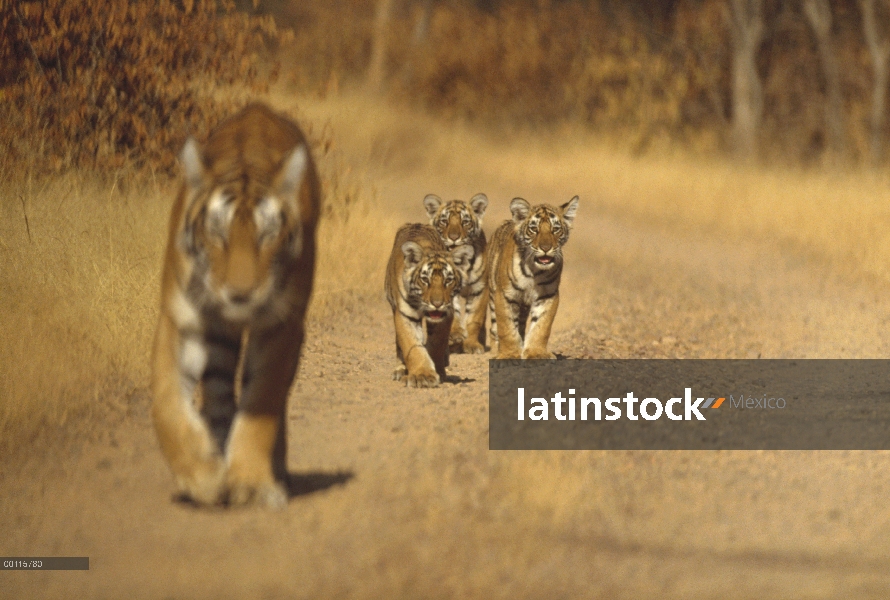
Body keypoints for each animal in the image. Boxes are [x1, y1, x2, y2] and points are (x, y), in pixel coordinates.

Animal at [150, 102, 320, 506]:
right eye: (217, 231)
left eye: (268, 233)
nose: (240, 294)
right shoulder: (182, 318)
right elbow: (166, 401)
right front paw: (202, 475)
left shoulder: (280, 326)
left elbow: (261, 403)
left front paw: (253, 483)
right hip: (218, 340)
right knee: (218, 390)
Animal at [386, 223, 476, 386]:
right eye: (425, 280)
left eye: (448, 280)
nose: (437, 304)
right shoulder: (405, 314)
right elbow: (412, 346)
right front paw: (422, 376)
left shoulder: (446, 315)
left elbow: (437, 343)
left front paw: (437, 371)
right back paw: (400, 369)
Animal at [486, 197, 576, 358]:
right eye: (534, 229)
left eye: (556, 229)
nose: (545, 248)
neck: (534, 271)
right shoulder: (504, 295)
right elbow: (506, 326)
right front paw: (509, 354)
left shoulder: (548, 296)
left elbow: (542, 326)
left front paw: (536, 353)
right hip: (492, 293)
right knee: (495, 327)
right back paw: (495, 350)